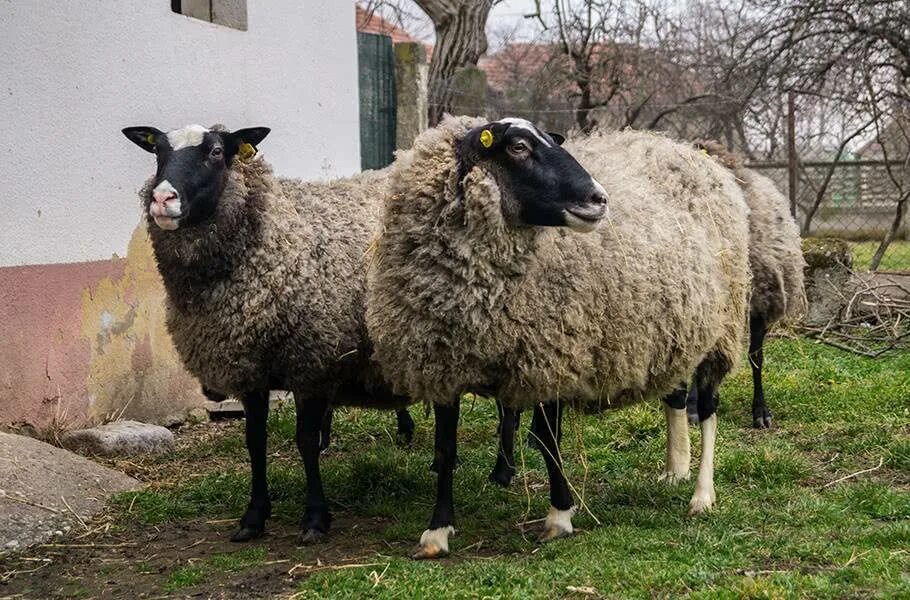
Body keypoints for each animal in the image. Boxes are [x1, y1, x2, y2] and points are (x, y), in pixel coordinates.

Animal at [123, 124, 416, 548]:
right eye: (157, 150)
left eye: (216, 151)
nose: (162, 198)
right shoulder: (250, 370)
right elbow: (255, 441)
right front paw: (254, 517)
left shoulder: (312, 363)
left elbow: (305, 441)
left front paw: (314, 519)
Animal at [366, 117, 752, 556]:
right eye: (518, 147)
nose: (599, 199)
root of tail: (687, 151)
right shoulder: (441, 364)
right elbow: (445, 450)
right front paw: (437, 531)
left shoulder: (550, 357)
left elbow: (550, 443)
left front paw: (560, 515)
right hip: (677, 328)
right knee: (675, 396)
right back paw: (676, 468)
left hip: (722, 328)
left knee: (707, 409)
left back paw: (702, 495)